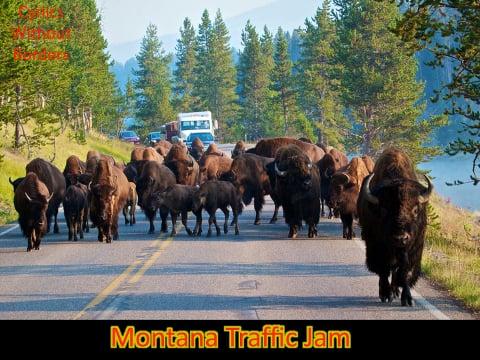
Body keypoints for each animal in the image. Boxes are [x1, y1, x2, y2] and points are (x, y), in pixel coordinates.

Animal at [358, 149, 434, 306]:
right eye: (384, 210)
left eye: (415, 210)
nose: (400, 238)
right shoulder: (376, 247)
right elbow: (383, 270)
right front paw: (385, 294)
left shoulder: (412, 251)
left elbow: (404, 272)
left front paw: (408, 299)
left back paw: (395, 291)